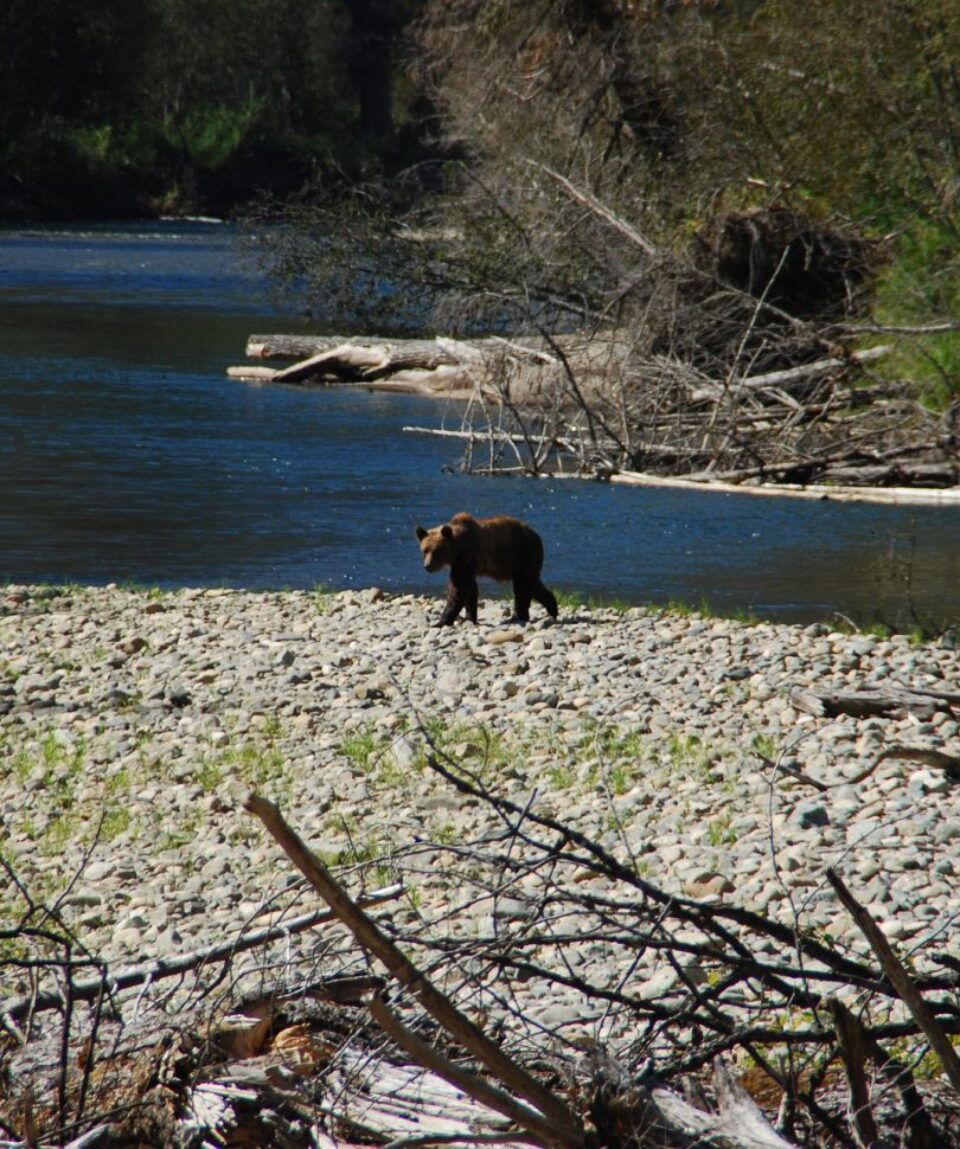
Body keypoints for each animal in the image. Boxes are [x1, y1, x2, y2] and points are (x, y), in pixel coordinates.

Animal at [413, 514, 562, 629]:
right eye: (424, 550)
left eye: (437, 551)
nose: (427, 566)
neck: (458, 547)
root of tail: (536, 534)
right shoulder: (464, 563)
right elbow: (470, 588)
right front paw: (469, 617)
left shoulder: (467, 556)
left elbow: (459, 587)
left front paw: (441, 621)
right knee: (533, 585)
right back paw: (552, 609)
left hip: (523, 552)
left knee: (522, 587)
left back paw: (517, 617)